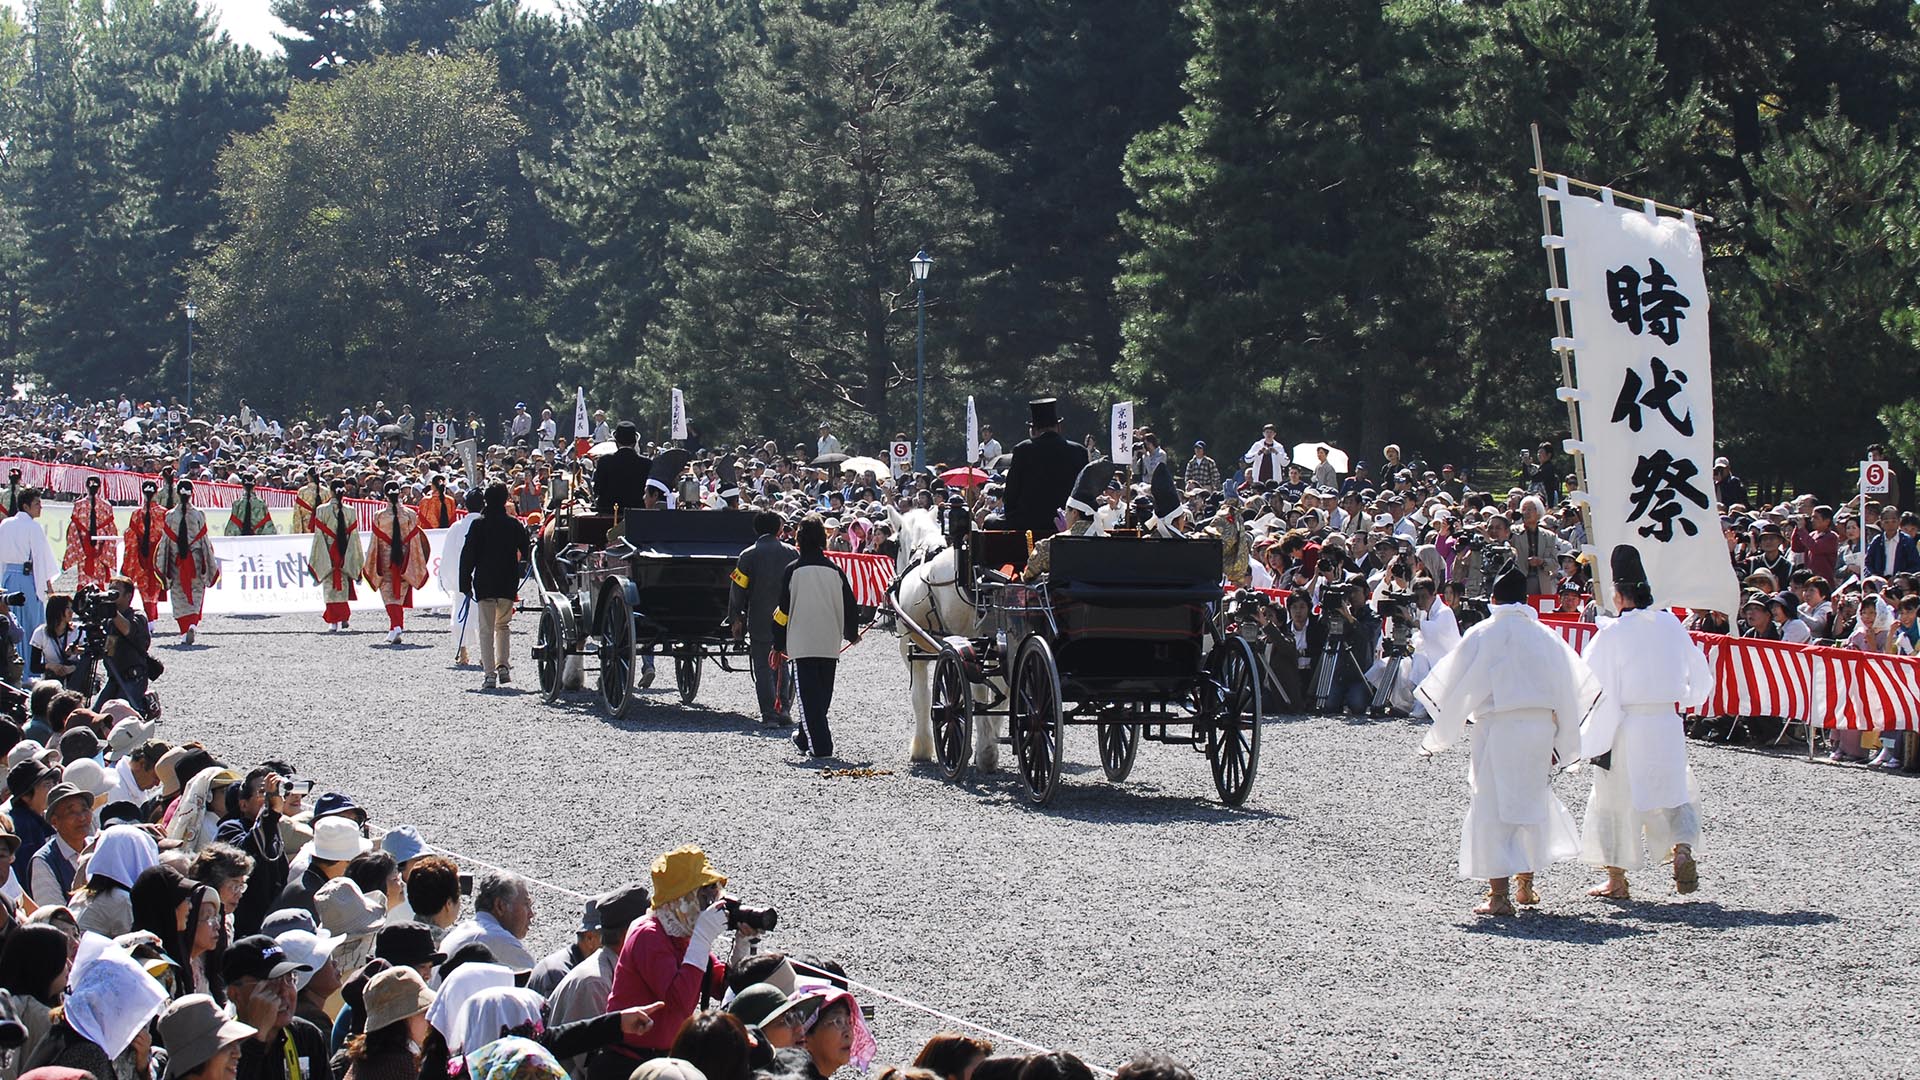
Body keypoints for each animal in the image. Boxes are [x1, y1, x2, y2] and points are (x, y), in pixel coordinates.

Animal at [887, 503, 1006, 764]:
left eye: (895, 543)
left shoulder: (912, 651)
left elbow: (920, 698)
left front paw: (921, 747)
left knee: (980, 690)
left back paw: (985, 751)